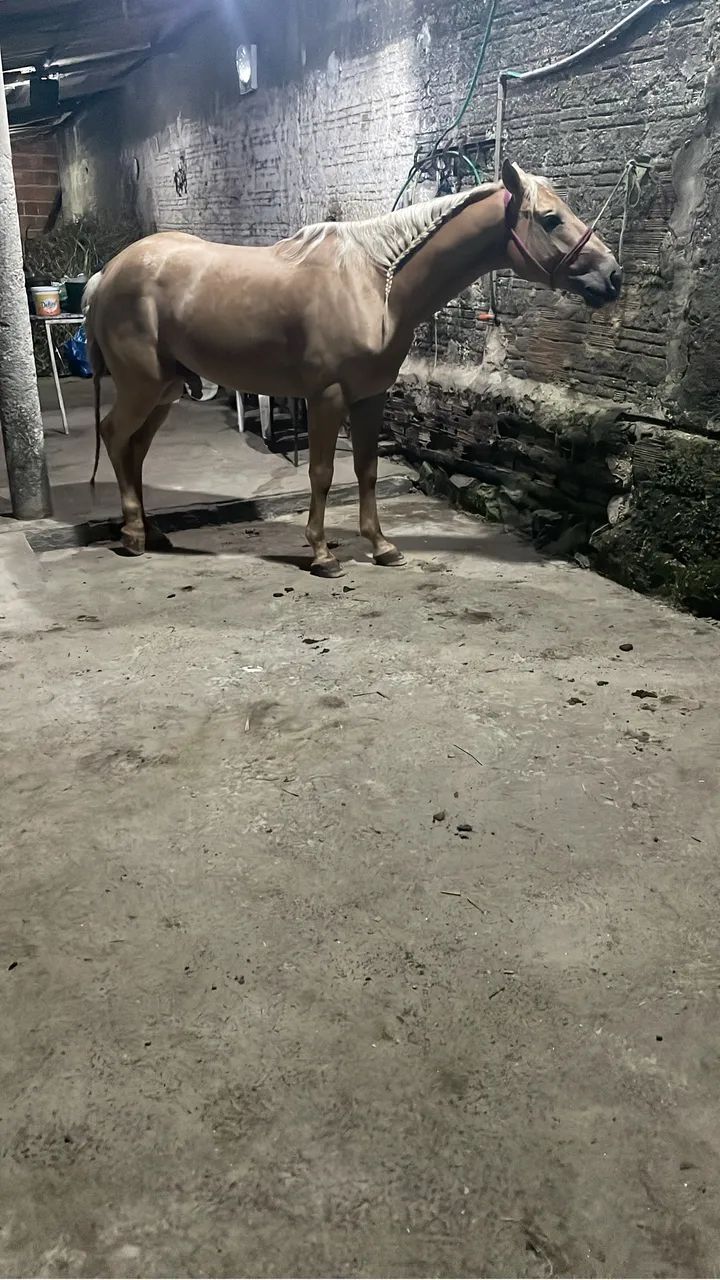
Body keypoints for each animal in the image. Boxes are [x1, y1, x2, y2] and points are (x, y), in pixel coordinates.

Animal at [83, 159, 621, 575]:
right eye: (550, 219)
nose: (613, 276)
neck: (376, 284)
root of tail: (106, 274)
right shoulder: (327, 396)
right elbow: (322, 472)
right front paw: (322, 554)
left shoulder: (370, 396)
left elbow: (365, 468)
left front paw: (382, 546)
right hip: (142, 386)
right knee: (113, 435)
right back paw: (132, 536)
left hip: (166, 390)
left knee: (134, 450)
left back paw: (151, 532)